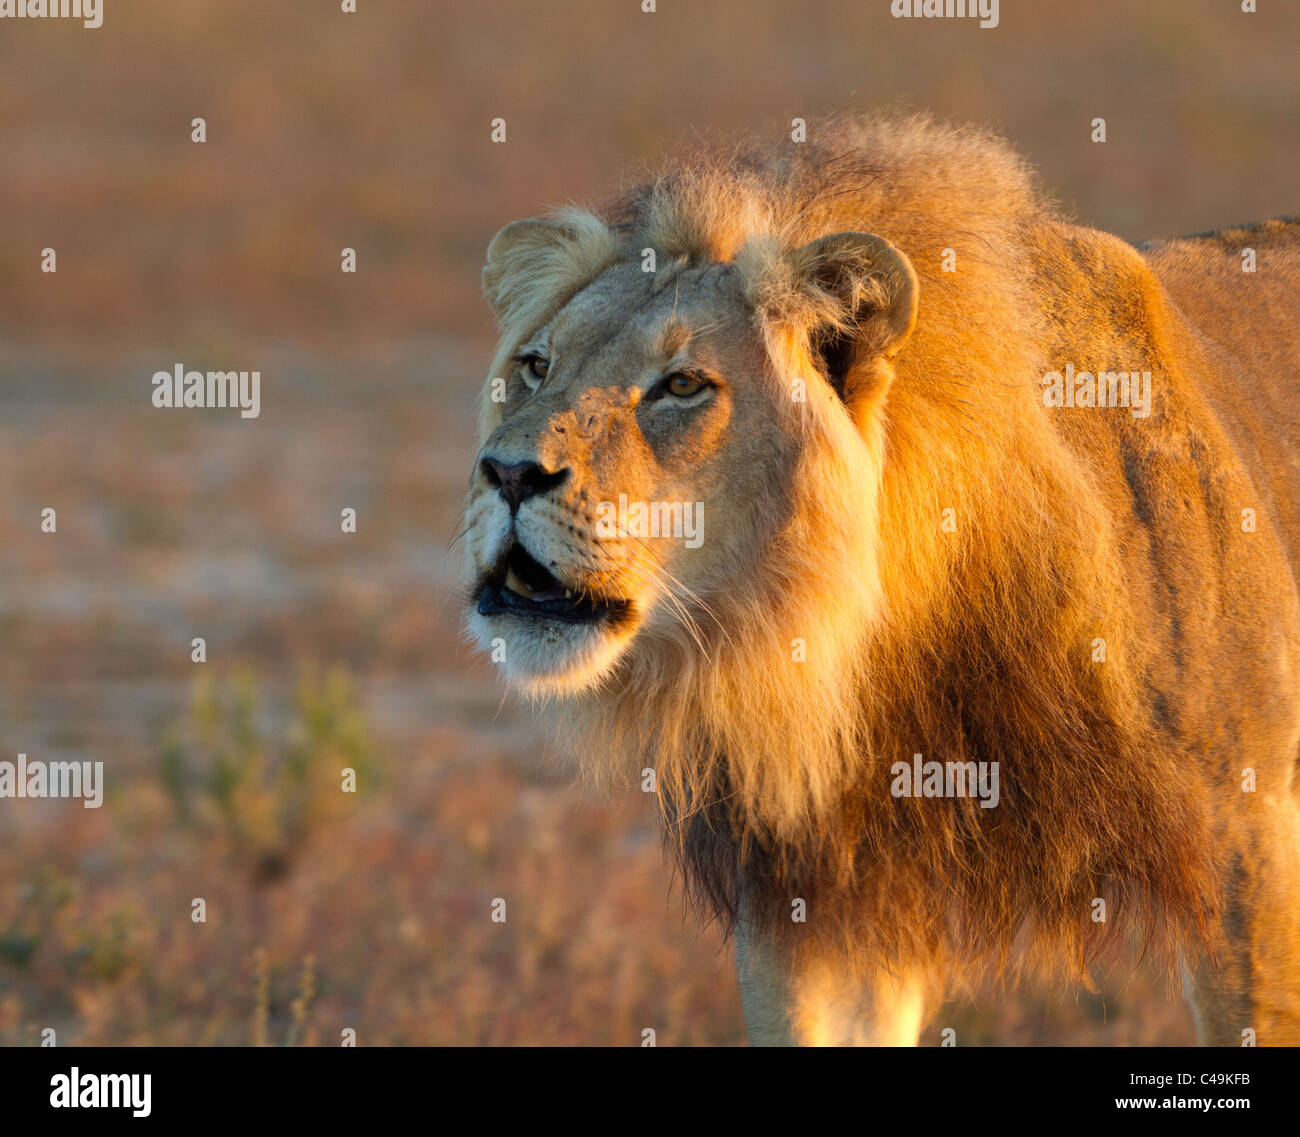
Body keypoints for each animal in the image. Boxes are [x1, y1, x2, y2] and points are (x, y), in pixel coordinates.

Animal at [462, 113, 1300, 1046]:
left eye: (682, 385)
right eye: (536, 366)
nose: (506, 472)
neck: (886, 645)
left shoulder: (1252, 849)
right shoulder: (821, 897)